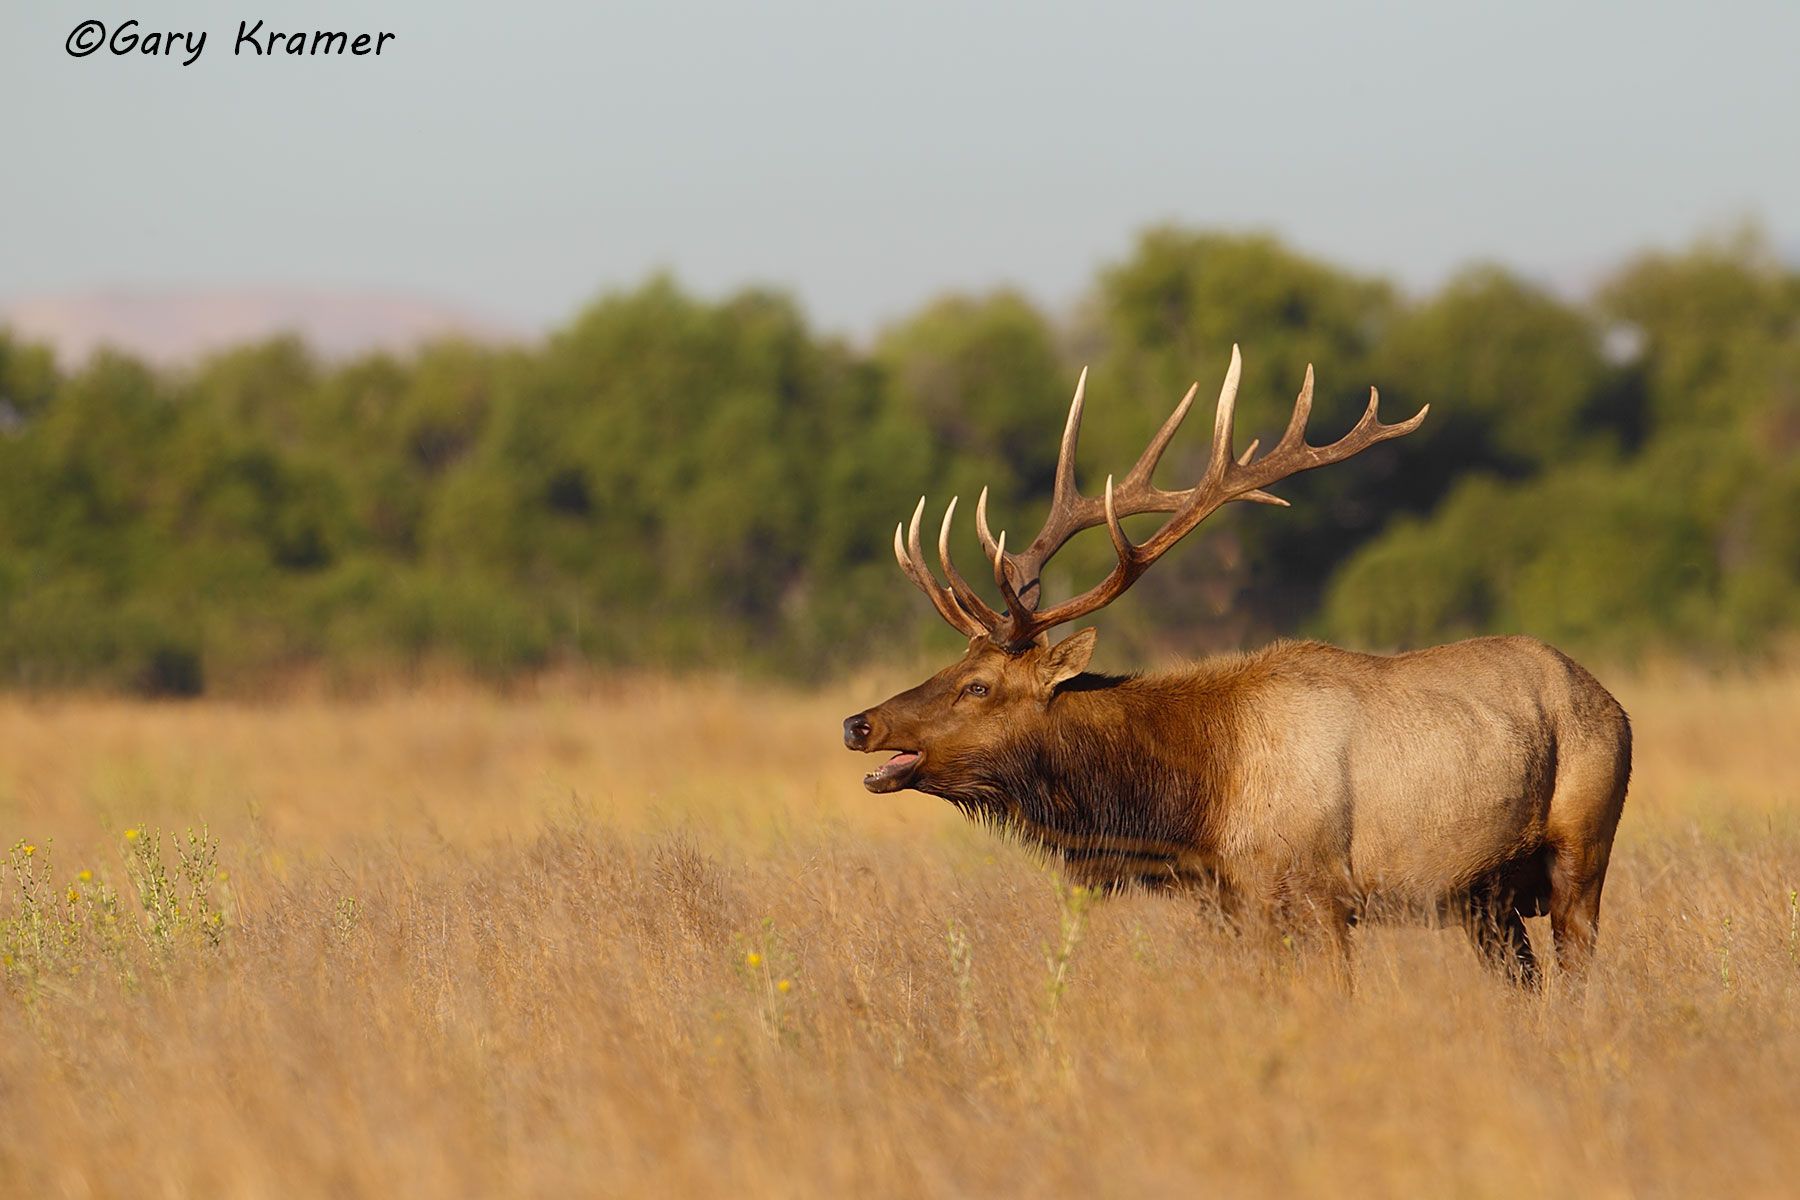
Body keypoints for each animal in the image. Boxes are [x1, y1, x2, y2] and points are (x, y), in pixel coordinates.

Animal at [842, 347, 1632, 986]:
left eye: (977, 686)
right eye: (954, 663)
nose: (859, 723)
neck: (1195, 801)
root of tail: (1611, 700)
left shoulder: (1319, 893)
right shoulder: (1232, 904)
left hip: (1582, 849)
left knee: (1578, 971)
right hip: (1485, 899)